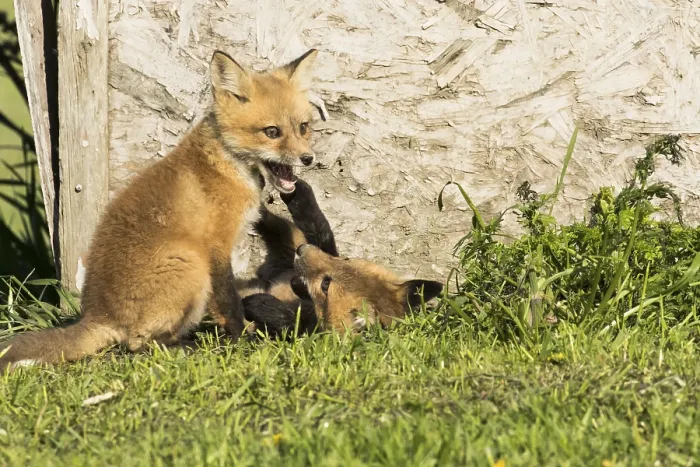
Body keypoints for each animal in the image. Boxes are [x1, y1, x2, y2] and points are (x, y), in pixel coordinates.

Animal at [0, 49, 322, 371]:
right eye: (272, 132)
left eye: (303, 128)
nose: (308, 158)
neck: (226, 162)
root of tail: (97, 314)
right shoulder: (215, 245)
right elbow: (228, 301)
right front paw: (243, 337)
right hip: (191, 264)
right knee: (139, 345)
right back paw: (193, 346)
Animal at [239, 179, 443, 337]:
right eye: (346, 260)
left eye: (326, 284)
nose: (301, 250)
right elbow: (321, 231)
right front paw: (300, 195)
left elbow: (287, 324)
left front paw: (260, 305)